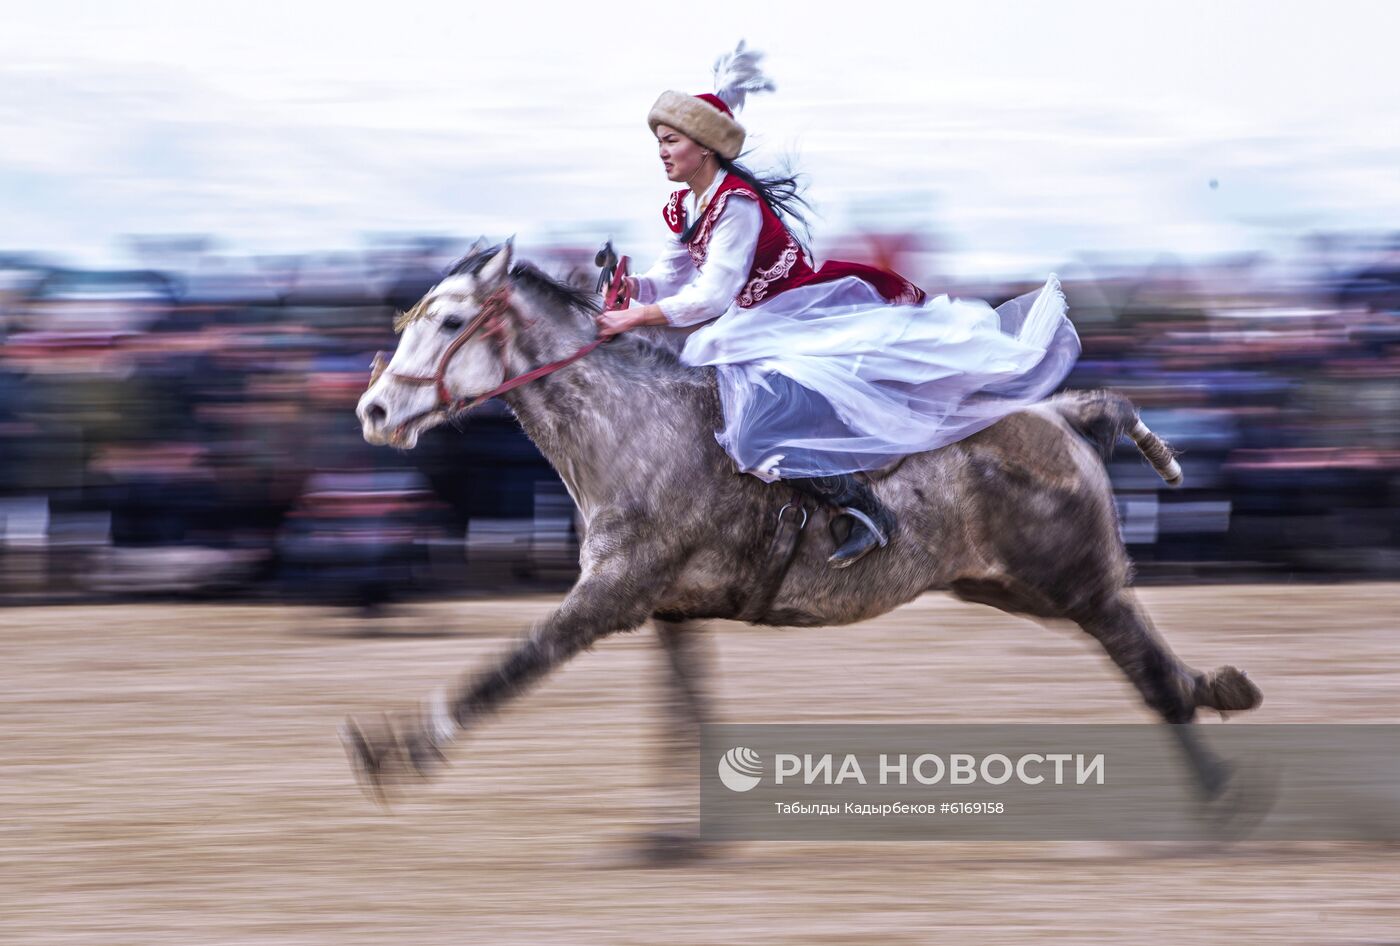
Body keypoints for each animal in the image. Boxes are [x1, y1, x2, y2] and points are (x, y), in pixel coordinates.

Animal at [344, 242, 1265, 850]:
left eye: (451, 321)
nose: (374, 412)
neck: (638, 425)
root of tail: (1064, 413)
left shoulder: (610, 595)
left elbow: (509, 668)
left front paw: (398, 751)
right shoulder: (670, 610)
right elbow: (685, 711)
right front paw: (684, 831)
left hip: (1075, 582)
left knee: (1148, 673)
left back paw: (1221, 787)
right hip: (1015, 586)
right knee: (1149, 658)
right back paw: (1221, 693)